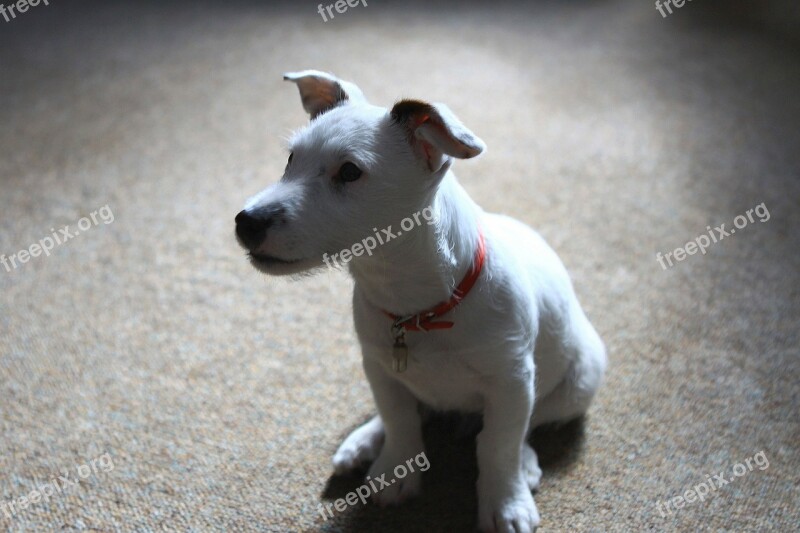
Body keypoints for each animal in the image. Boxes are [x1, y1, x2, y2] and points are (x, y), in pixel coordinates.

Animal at [234, 69, 608, 528]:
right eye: (291, 159)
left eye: (350, 172)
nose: (246, 222)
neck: (419, 307)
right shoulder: (379, 366)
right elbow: (400, 421)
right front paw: (396, 470)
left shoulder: (513, 380)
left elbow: (498, 444)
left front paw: (505, 502)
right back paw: (364, 442)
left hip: (580, 379)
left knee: (531, 420)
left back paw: (525, 461)